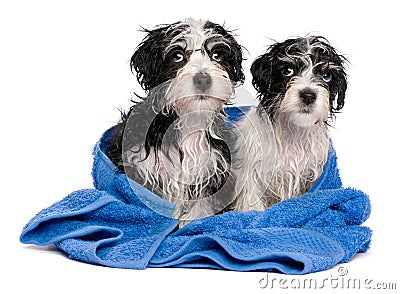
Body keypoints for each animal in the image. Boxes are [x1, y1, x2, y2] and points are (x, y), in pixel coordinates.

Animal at [107, 18, 244, 225]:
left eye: (217, 55)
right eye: (177, 56)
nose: (203, 79)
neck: (188, 118)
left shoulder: (211, 167)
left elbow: (201, 207)